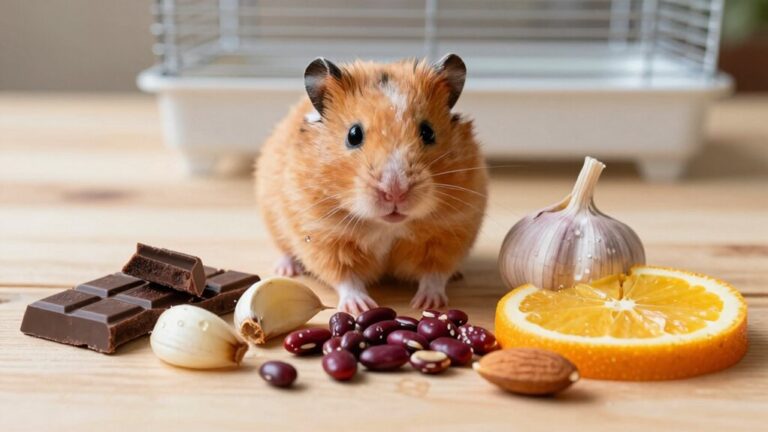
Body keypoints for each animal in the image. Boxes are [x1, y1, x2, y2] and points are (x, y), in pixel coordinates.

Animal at [255, 54, 488, 315]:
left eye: (428, 132)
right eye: (353, 135)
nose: (395, 192)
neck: (387, 226)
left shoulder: (450, 231)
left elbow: (435, 273)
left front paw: (428, 303)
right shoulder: (324, 236)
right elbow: (345, 277)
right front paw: (360, 308)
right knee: (286, 250)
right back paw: (286, 269)